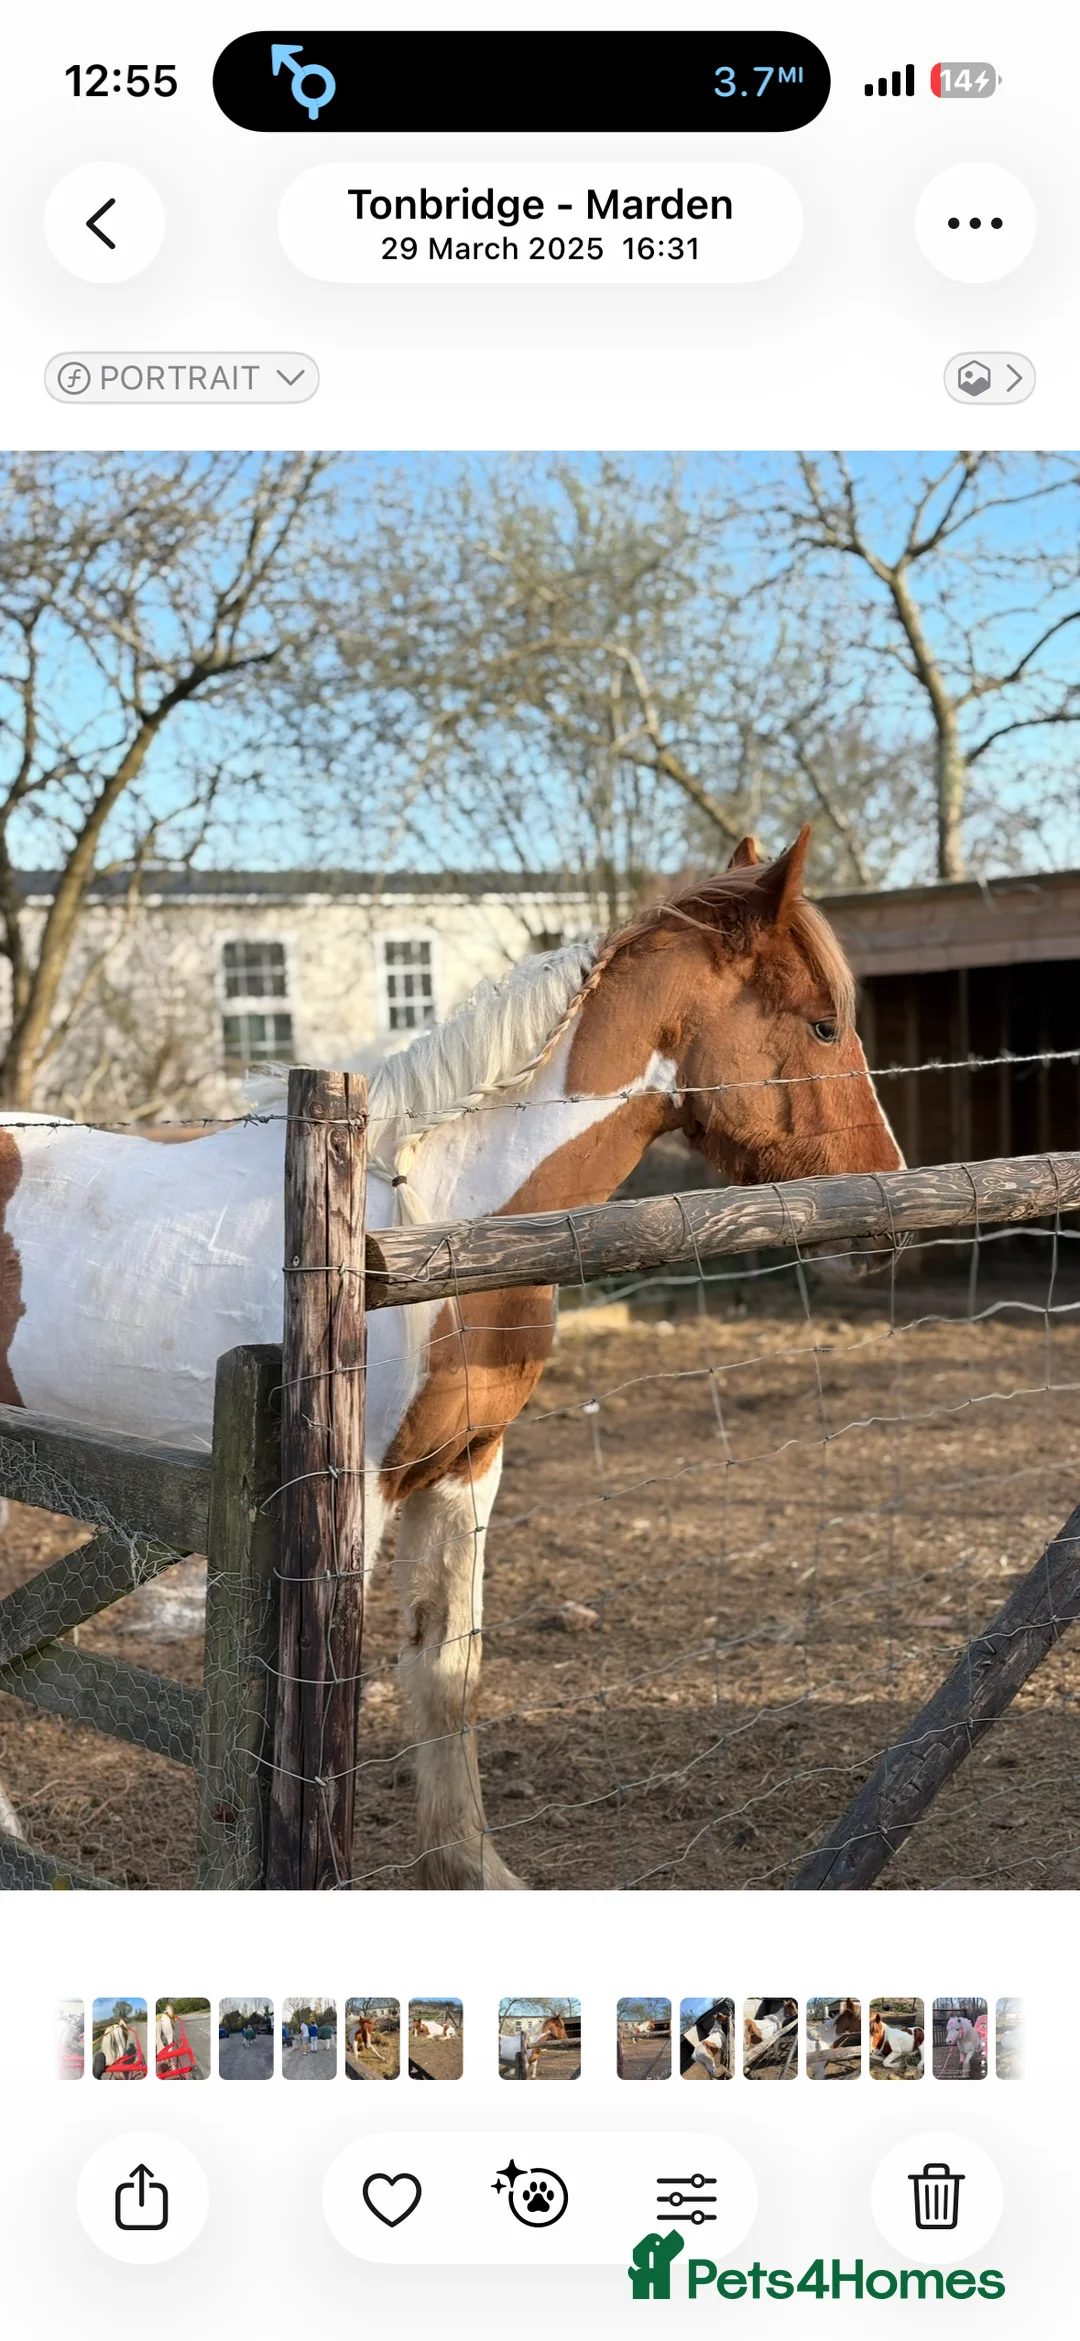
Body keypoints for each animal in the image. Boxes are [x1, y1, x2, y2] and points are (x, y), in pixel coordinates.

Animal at [0, 826, 901, 1888]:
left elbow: (446, 1671)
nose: (885, 1212)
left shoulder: (467, 1470)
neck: (434, 1230)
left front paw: (469, 1867)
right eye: (822, 1026)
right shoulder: (348, 1498)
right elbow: (330, 1704)